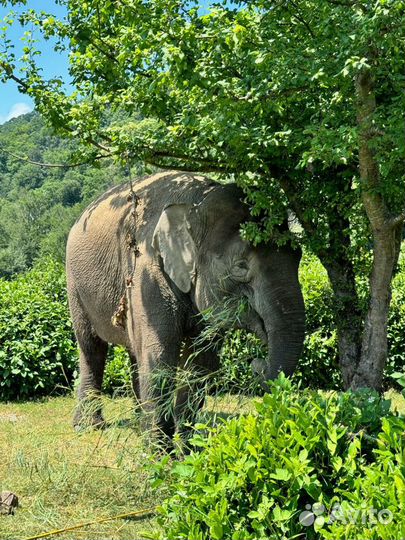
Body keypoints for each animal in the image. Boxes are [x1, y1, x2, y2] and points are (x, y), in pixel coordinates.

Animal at [65, 171, 304, 440]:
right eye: (241, 266)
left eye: (299, 256)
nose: (258, 365)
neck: (197, 203)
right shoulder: (148, 273)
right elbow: (159, 357)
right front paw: (159, 450)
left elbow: (201, 361)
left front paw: (186, 442)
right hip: (75, 286)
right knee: (91, 348)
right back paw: (89, 426)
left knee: (135, 350)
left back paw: (138, 421)